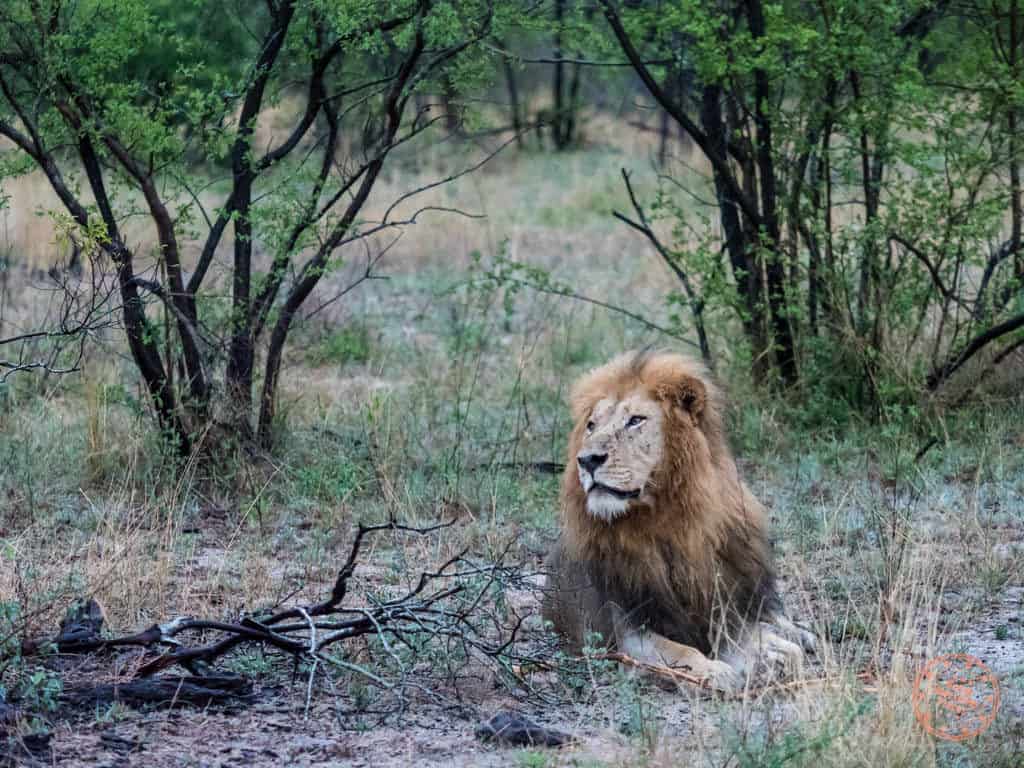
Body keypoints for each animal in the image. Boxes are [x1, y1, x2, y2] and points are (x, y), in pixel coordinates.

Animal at [543, 350, 813, 693]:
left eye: (635, 420)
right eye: (591, 426)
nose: (587, 460)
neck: (669, 522)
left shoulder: (721, 611)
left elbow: (760, 642)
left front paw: (775, 659)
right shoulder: (629, 632)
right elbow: (681, 652)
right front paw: (717, 673)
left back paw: (800, 634)